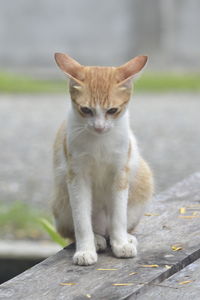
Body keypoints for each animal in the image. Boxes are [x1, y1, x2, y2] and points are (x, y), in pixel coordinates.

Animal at [51, 52, 153, 266]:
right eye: (86, 110)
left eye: (112, 110)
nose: (99, 127)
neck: (99, 141)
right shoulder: (77, 176)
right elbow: (81, 220)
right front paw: (85, 250)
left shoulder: (120, 173)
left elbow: (119, 216)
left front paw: (121, 243)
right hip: (61, 201)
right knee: (77, 230)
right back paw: (97, 239)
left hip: (143, 180)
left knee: (117, 225)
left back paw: (123, 237)